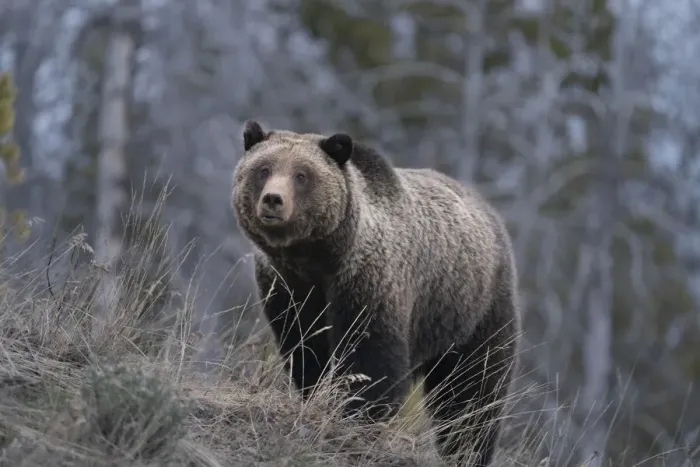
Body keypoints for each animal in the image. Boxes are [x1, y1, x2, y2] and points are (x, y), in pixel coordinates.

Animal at [231, 120, 521, 467]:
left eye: (302, 175)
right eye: (263, 169)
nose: (273, 200)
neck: (316, 258)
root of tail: (488, 211)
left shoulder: (368, 281)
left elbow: (371, 359)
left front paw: (356, 416)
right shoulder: (285, 288)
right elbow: (306, 348)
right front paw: (317, 395)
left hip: (472, 309)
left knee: (472, 390)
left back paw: (467, 451)